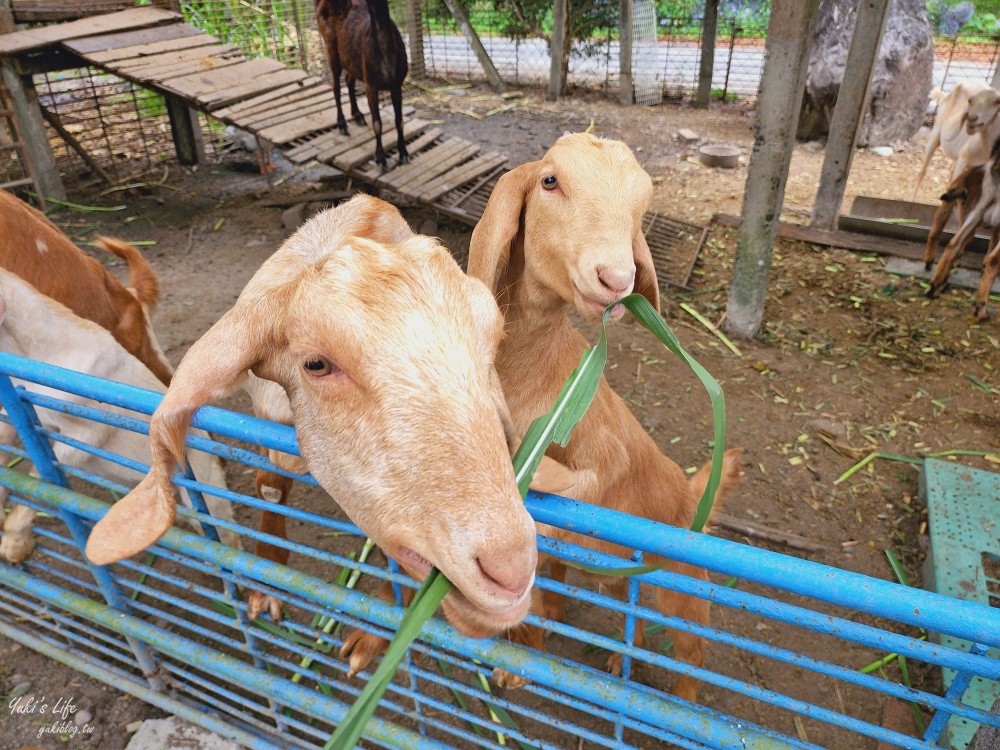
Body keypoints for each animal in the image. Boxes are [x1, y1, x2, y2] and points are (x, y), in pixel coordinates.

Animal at [322, 0, 412, 169]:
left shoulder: (397, 84)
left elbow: (400, 121)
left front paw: (404, 154)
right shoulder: (371, 83)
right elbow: (377, 123)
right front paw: (380, 158)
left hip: (351, 60)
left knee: (348, 80)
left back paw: (357, 115)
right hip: (332, 49)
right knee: (336, 87)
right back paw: (342, 124)